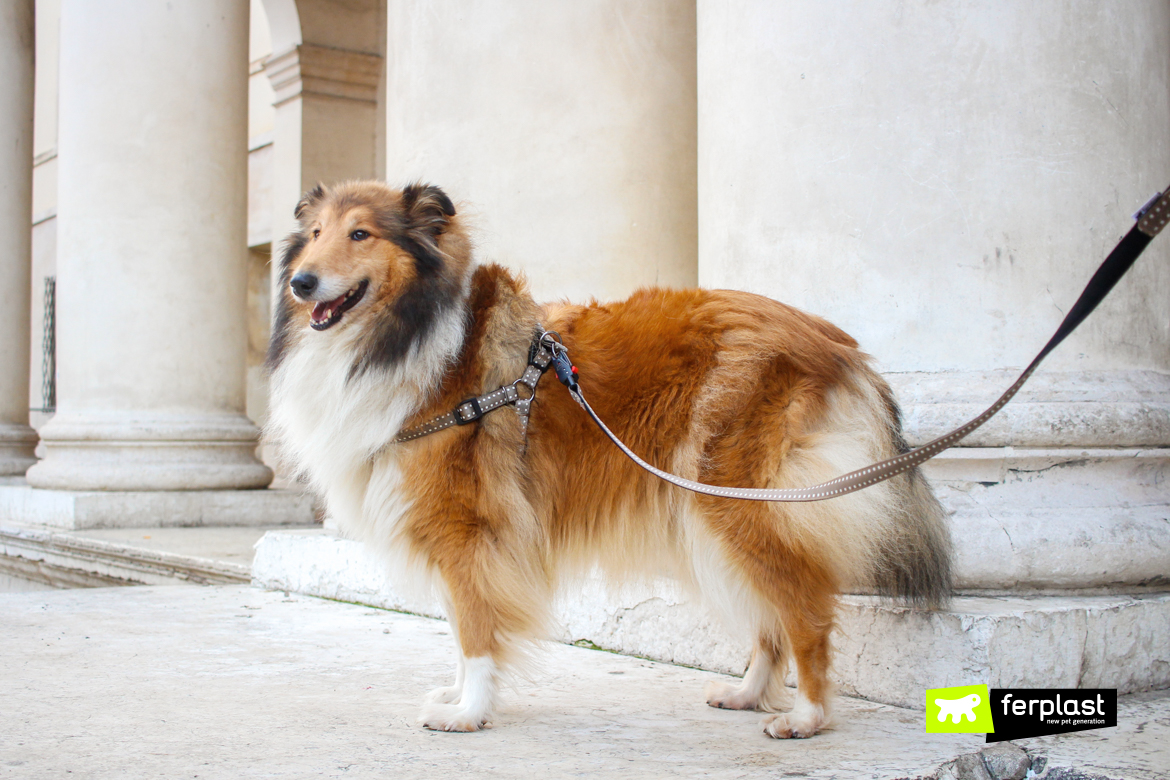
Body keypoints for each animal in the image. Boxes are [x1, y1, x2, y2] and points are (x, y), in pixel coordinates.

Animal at [265, 181, 950, 739]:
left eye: (361, 233)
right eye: (316, 234)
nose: (302, 283)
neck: (410, 337)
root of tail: (839, 343)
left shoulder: (469, 529)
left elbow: (475, 627)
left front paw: (469, 713)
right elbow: (462, 629)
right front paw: (459, 697)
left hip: (738, 498)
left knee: (803, 606)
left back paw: (806, 717)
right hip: (720, 509)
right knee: (769, 612)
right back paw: (747, 694)